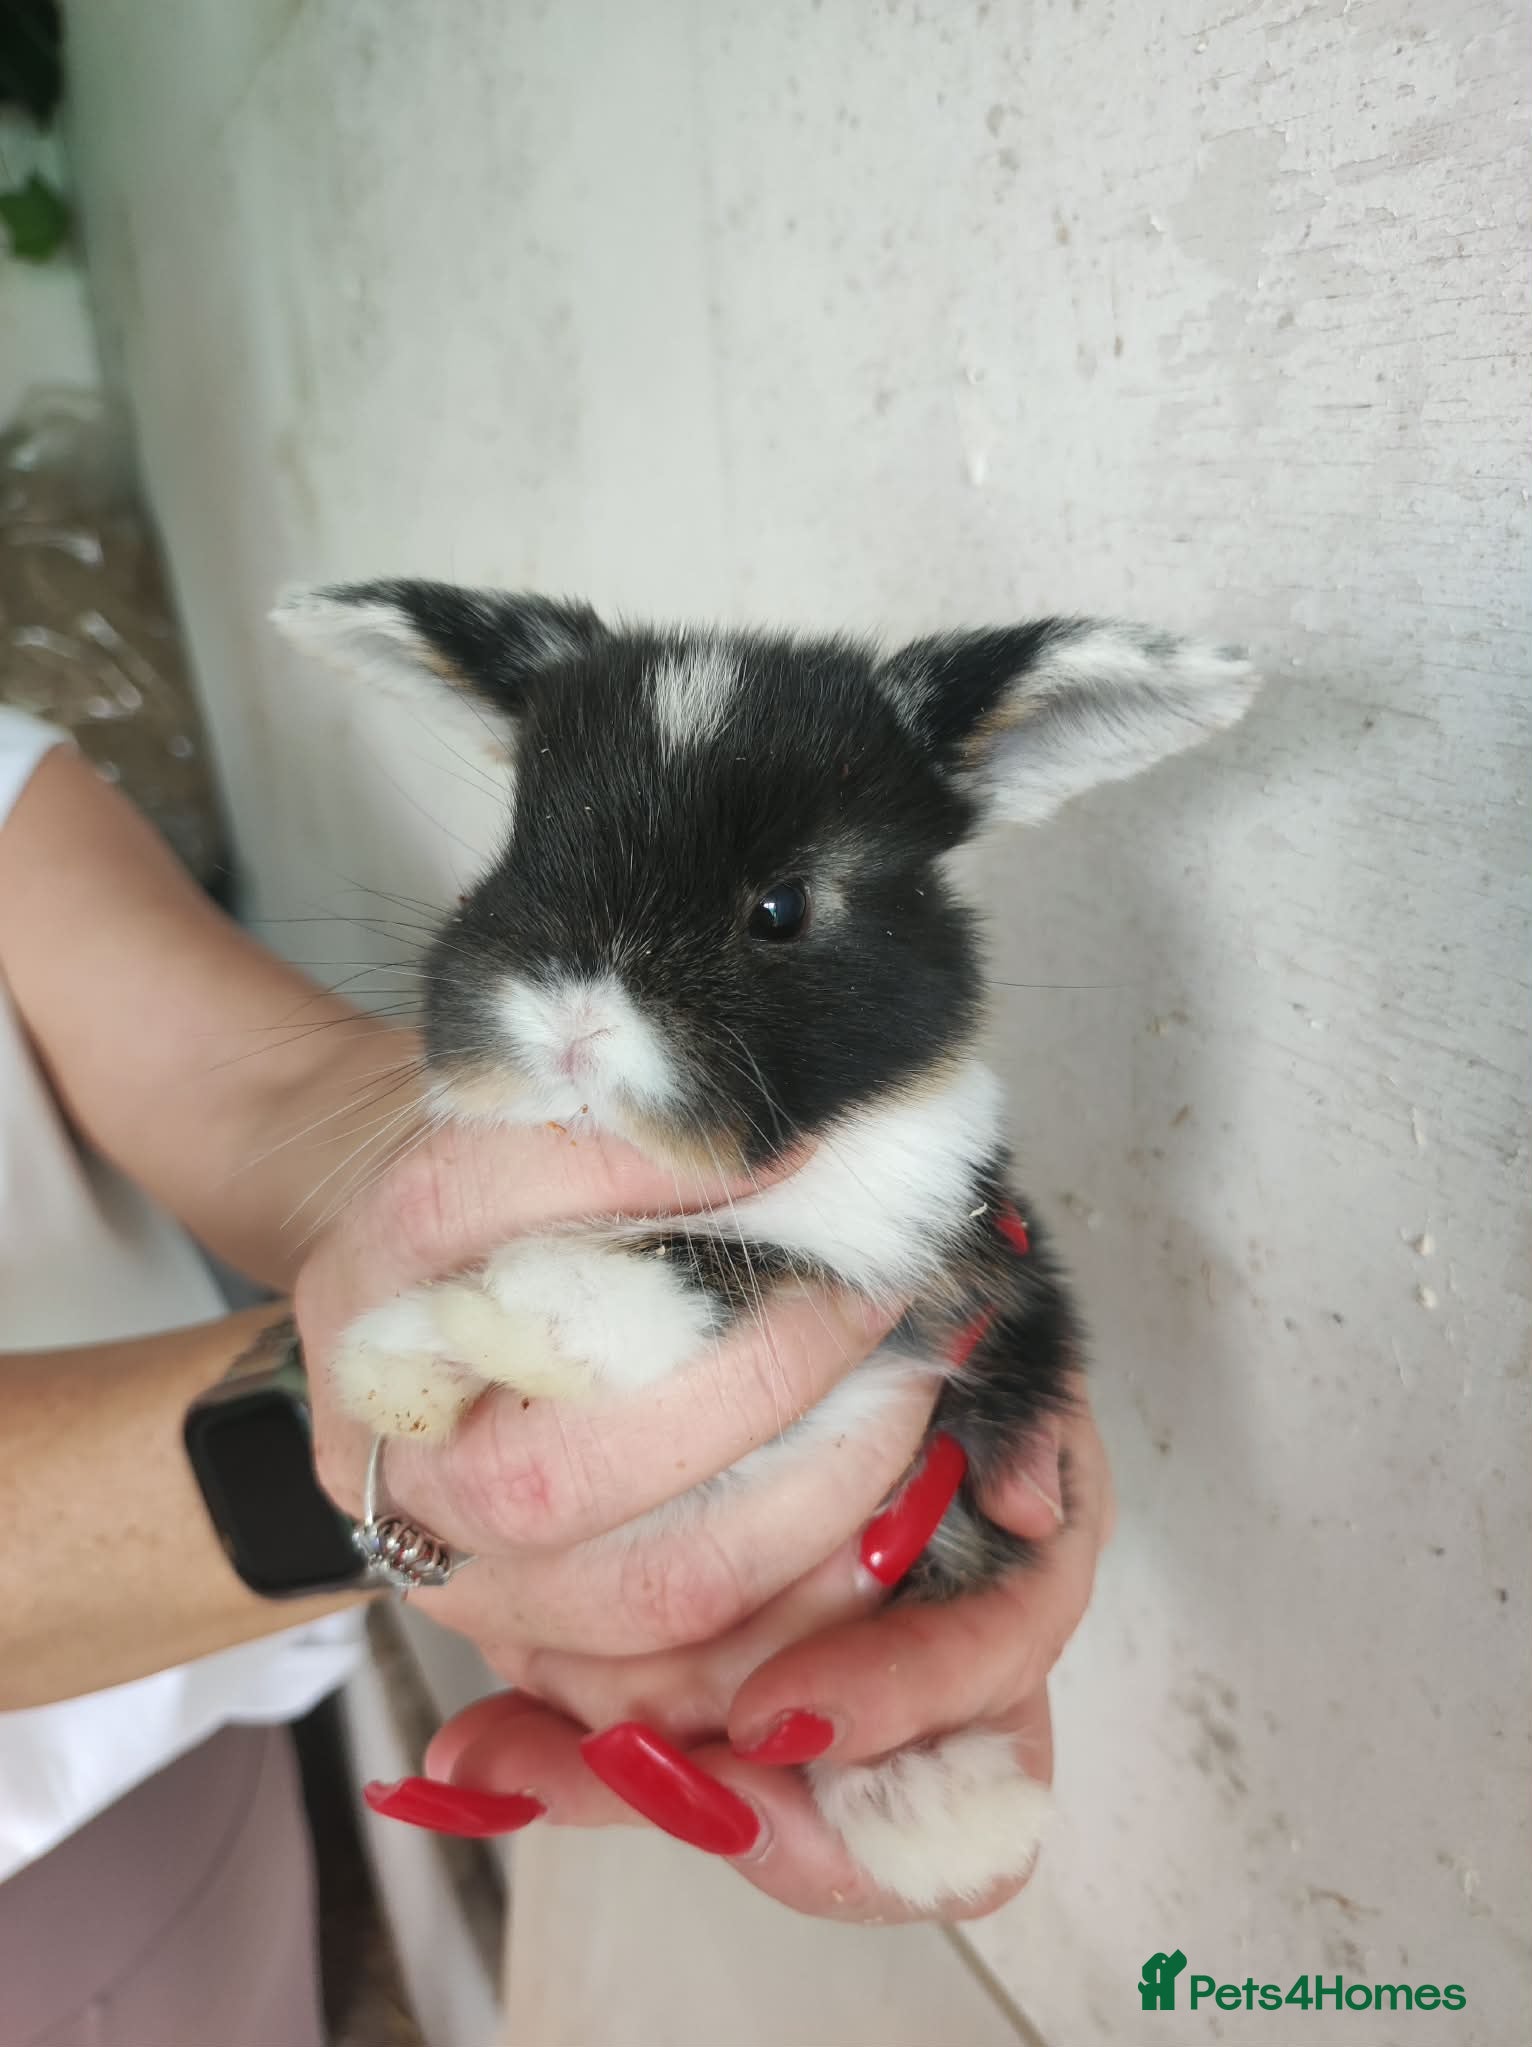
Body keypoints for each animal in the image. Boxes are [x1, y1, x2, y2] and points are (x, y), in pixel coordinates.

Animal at [274, 580, 1258, 1909]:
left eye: (780, 908)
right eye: (517, 847)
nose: (571, 1027)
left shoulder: (908, 1252)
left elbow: (716, 1269)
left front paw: (520, 1315)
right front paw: (396, 1360)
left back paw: (941, 1813)